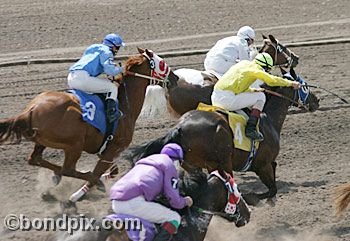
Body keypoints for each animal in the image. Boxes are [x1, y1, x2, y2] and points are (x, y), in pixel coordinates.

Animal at [0, 48, 175, 206]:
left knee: (35, 159)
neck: (125, 105)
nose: (174, 77)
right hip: (74, 145)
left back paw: (55, 178)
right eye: (162, 64)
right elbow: (99, 171)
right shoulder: (114, 148)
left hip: (42, 141)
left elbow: (112, 169)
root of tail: (31, 109)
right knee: (68, 169)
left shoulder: (108, 150)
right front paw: (79, 194)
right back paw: (84, 182)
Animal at [126, 84, 320, 203]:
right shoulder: (262, 165)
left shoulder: (268, 164)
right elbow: (272, 189)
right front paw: (251, 197)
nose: (316, 101)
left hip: (193, 164)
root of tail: (180, 126)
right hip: (222, 162)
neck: (269, 119)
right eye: (303, 85)